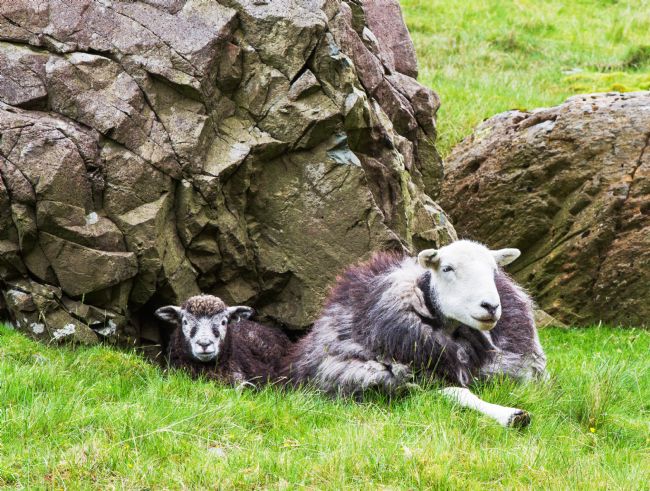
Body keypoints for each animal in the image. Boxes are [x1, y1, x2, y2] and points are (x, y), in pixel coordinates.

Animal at [281, 240, 547, 427]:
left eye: (493, 270)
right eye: (447, 268)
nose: (490, 306)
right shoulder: (395, 381)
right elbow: (456, 392)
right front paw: (511, 414)